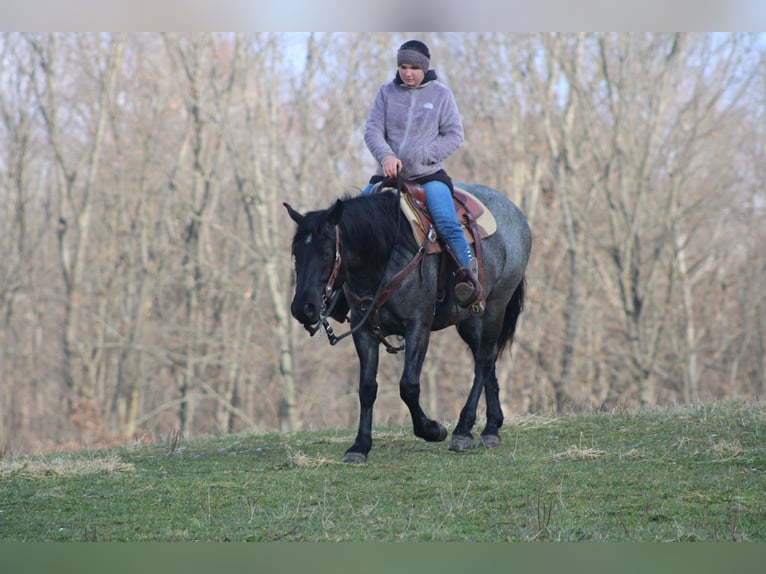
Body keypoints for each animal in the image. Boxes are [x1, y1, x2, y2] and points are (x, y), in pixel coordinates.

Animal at [284, 182, 531, 462]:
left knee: (483, 362)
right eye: (296, 253)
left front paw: (432, 430)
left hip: (495, 307)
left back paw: (464, 430)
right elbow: (367, 388)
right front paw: (359, 446)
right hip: (468, 319)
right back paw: (491, 428)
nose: (303, 308)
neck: (384, 258)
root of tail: (516, 213)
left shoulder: (418, 327)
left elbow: (408, 386)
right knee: (486, 361)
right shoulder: (364, 333)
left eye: (327, 253)